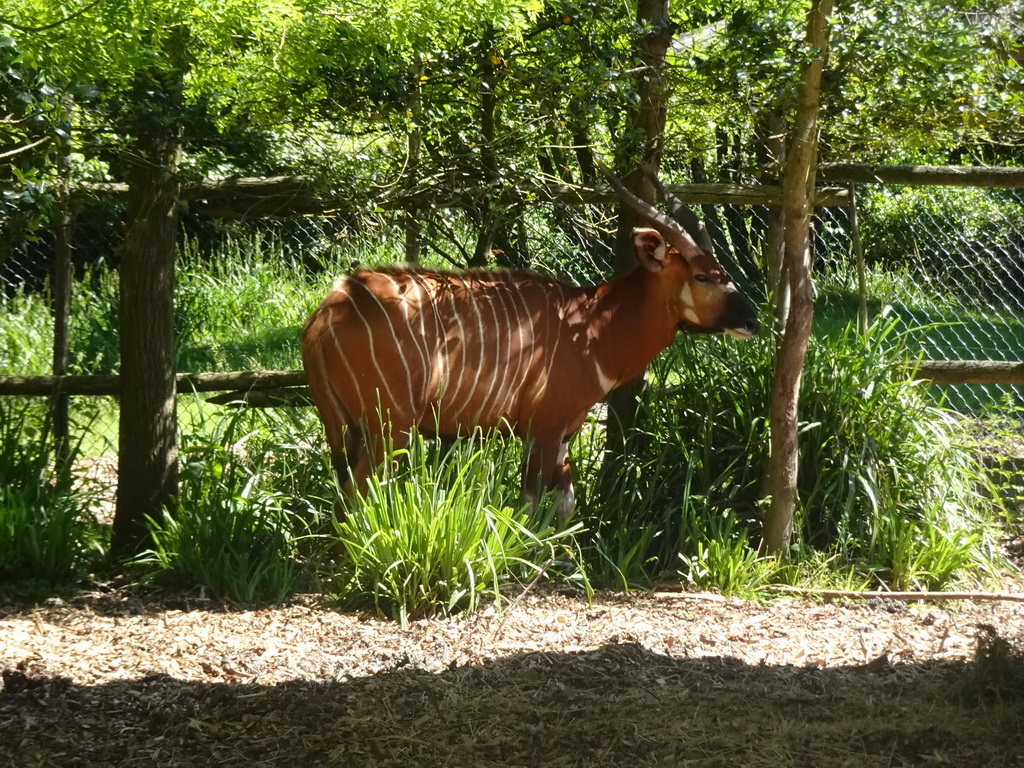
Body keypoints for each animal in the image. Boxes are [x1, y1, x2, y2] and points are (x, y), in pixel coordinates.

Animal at [299, 174, 757, 524]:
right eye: (702, 276)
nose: (751, 320)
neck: (591, 322)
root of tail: (331, 308)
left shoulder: (565, 433)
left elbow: (565, 505)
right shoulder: (545, 428)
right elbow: (531, 505)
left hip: (347, 429)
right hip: (389, 427)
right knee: (356, 496)